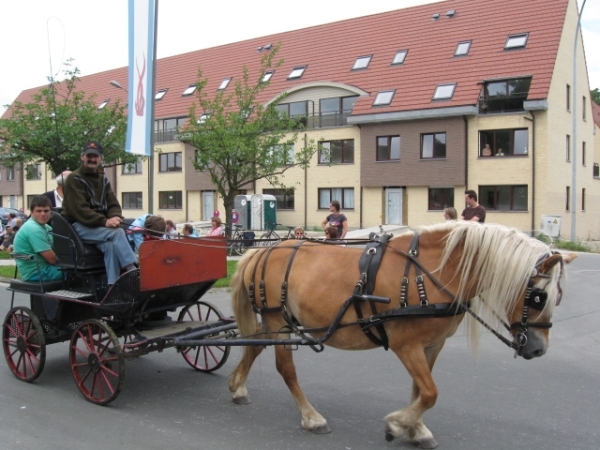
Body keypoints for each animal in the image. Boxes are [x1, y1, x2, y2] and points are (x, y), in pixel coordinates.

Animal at [227, 221, 576, 446]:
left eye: (556, 296)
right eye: (538, 297)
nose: (538, 349)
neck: (430, 274)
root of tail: (262, 251)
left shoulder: (431, 345)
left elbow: (420, 389)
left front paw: (415, 428)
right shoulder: (406, 346)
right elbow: (431, 392)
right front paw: (397, 425)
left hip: (276, 321)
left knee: (254, 345)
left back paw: (238, 386)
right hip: (278, 320)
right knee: (285, 368)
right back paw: (312, 417)